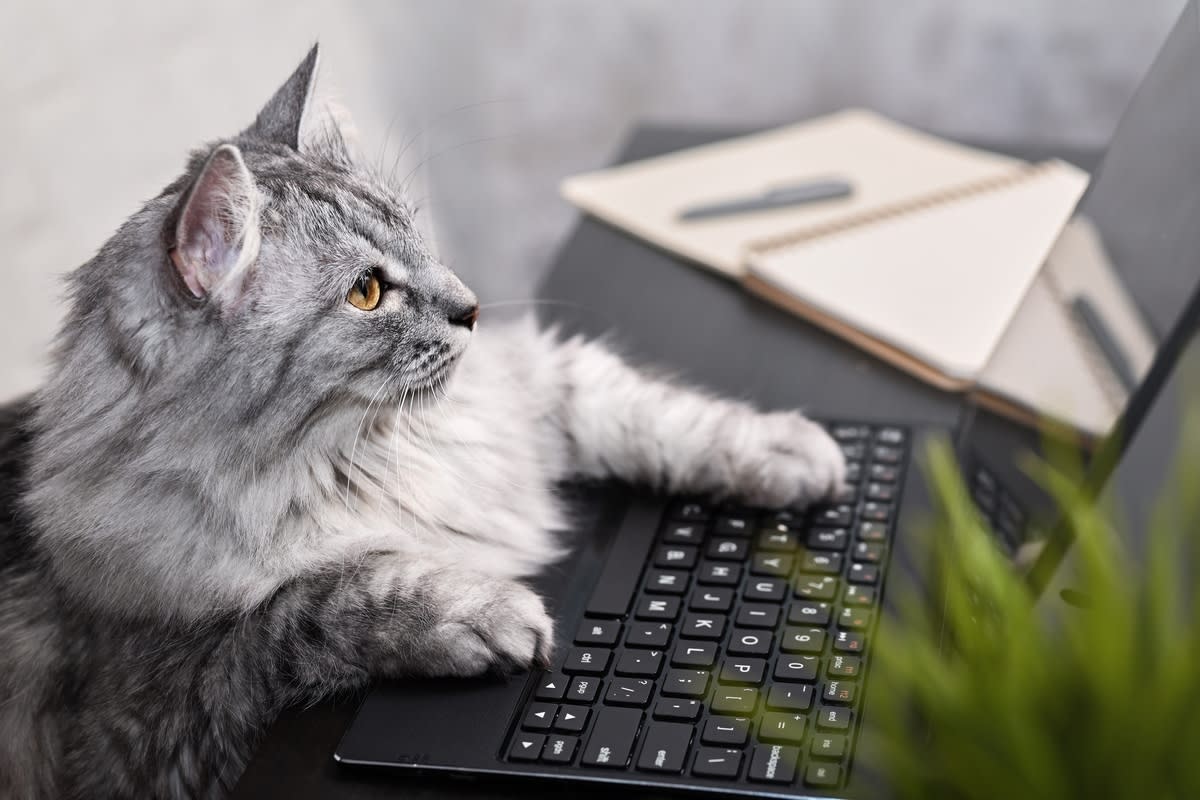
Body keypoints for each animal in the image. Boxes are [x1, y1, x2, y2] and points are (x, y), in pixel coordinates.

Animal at [0, 47, 844, 796]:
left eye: (415, 232)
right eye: (367, 293)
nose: (470, 307)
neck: (375, 455)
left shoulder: (535, 390)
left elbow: (664, 418)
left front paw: (800, 455)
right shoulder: (164, 703)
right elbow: (316, 600)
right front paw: (488, 615)